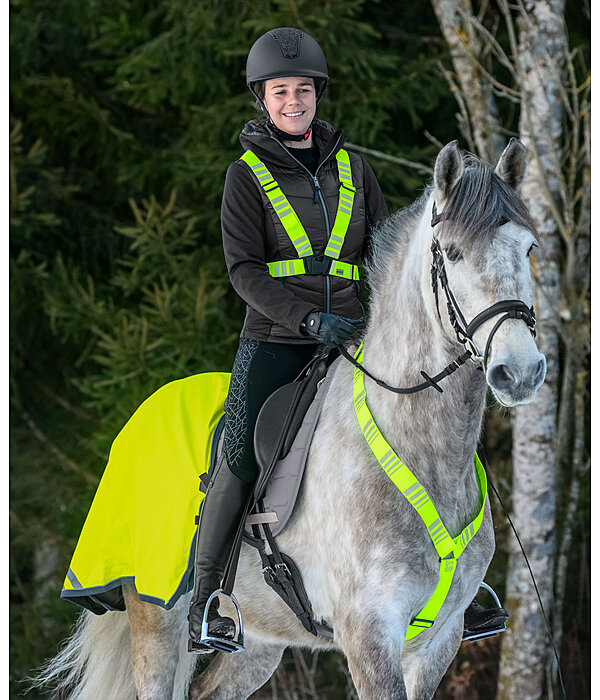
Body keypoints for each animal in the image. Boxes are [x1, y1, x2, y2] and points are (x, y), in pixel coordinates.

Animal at [36, 138, 544, 700]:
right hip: (154, 617)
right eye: (451, 253)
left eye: (529, 249)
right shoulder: (369, 635)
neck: (423, 452)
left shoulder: (440, 640)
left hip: (258, 640)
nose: (520, 371)